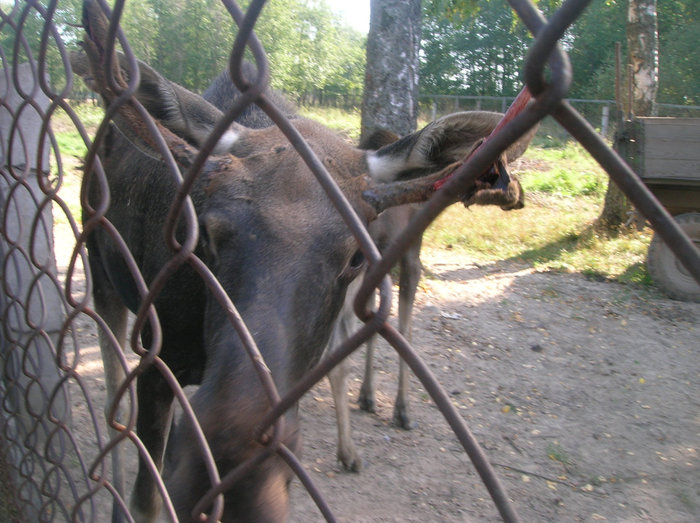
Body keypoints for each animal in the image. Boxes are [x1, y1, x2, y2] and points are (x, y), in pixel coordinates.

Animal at [75, 2, 532, 520]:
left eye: (356, 257)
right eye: (206, 233)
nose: (234, 469)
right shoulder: (157, 356)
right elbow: (144, 495)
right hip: (99, 266)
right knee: (112, 387)